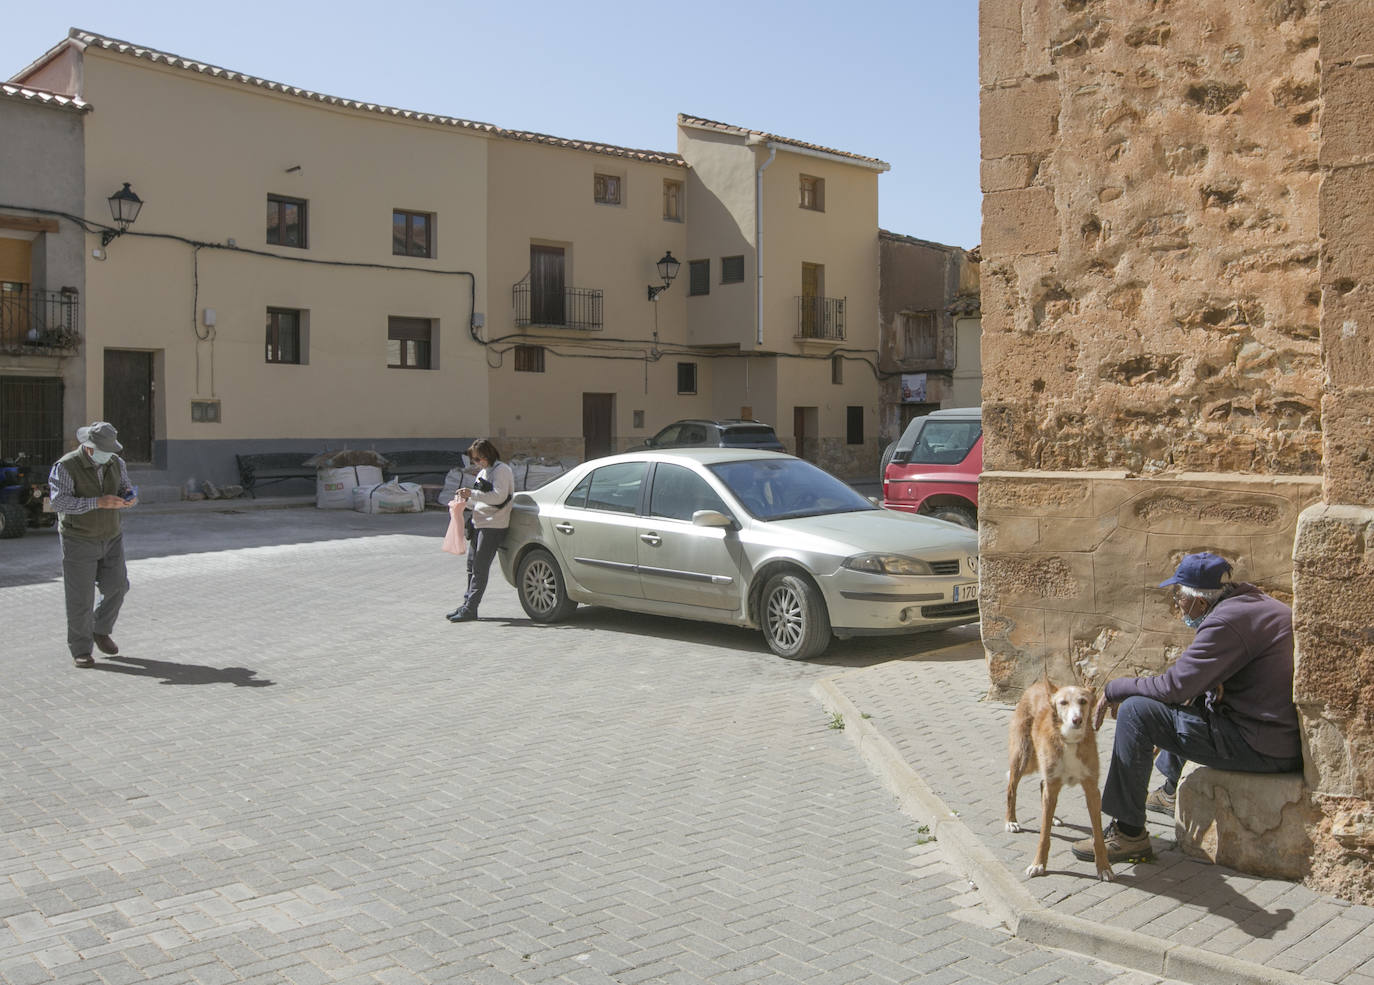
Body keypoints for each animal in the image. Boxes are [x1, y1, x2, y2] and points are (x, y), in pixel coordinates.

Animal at [1000, 681, 1115, 879]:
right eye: (1063, 703)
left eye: (1083, 701)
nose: (1077, 720)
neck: (1069, 741)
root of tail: (1037, 685)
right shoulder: (1052, 784)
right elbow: (1044, 835)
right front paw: (1038, 864)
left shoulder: (1092, 790)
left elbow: (1098, 836)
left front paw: (1104, 867)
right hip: (1022, 755)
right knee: (1011, 789)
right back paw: (1011, 820)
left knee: (1041, 786)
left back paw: (1053, 817)